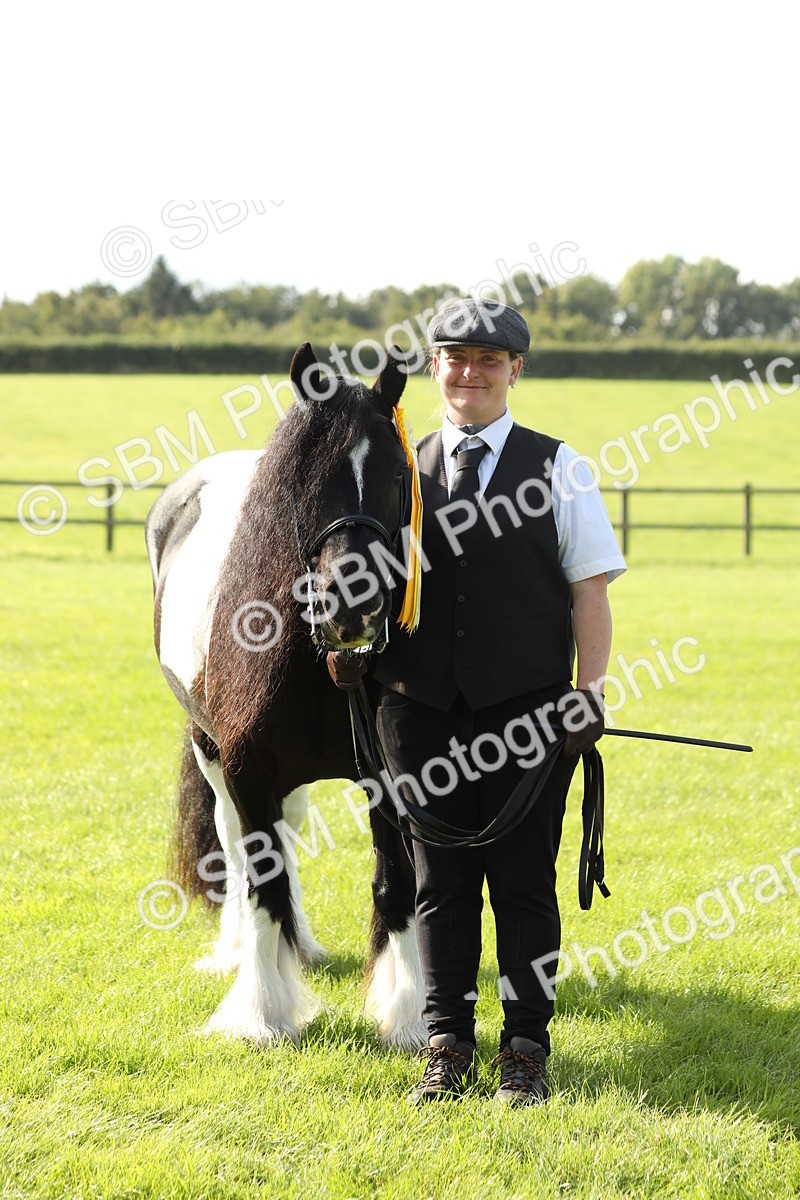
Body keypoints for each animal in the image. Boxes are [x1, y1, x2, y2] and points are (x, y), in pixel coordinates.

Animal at [144, 343, 426, 1047]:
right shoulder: (246, 767)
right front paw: (262, 1015)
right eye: (305, 477)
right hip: (210, 749)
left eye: (396, 474)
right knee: (236, 845)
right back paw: (236, 953)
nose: (352, 607)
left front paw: (407, 1015)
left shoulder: (391, 776)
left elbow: (396, 883)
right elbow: (261, 881)